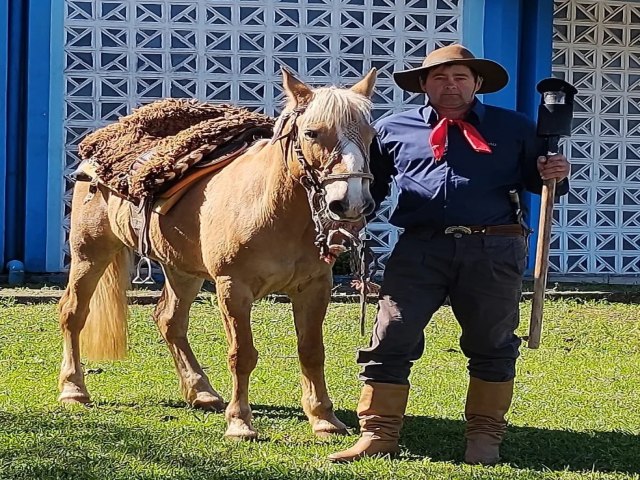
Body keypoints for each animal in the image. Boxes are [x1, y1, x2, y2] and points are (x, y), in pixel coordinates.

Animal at [57, 69, 378, 440]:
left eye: (370, 134)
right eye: (312, 132)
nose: (351, 203)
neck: (272, 206)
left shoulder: (313, 287)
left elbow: (312, 351)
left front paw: (324, 418)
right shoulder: (232, 288)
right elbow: (242, 354)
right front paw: (240, 422)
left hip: (181, 270)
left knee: (169, 321)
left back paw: (202, 392)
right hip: (90, 254)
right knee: (73, 313)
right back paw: (73, 389)